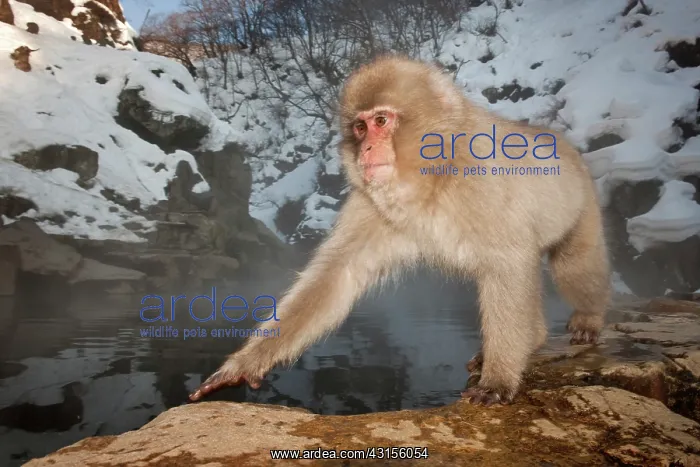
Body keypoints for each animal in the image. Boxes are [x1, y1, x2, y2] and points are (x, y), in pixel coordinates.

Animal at [188, 55, 611, 406]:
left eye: (381, 121)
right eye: (359, 126)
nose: (366, 149)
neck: (433, 178)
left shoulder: (483, 181)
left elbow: (508, 263)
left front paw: (498, 380)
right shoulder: (371, 203)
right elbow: (338, 274)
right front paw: (246, 363)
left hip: (584, 206)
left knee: (572, 266)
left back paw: (586, 320)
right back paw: (534, 337)